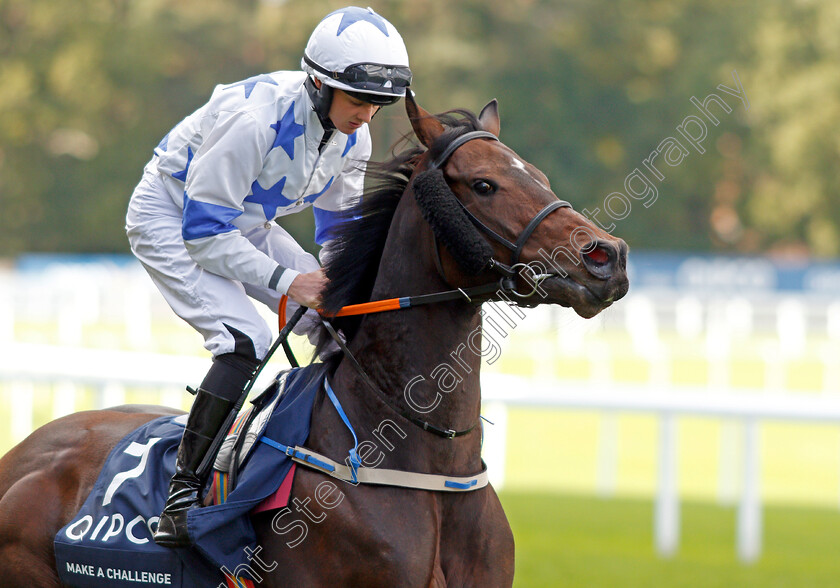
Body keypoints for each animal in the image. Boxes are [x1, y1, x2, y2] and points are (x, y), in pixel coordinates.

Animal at [0, 94, 628, 584]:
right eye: (484, 184)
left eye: (540, 177)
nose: (608, 257)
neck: (423, 466)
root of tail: (23, 455)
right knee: (239, 341)